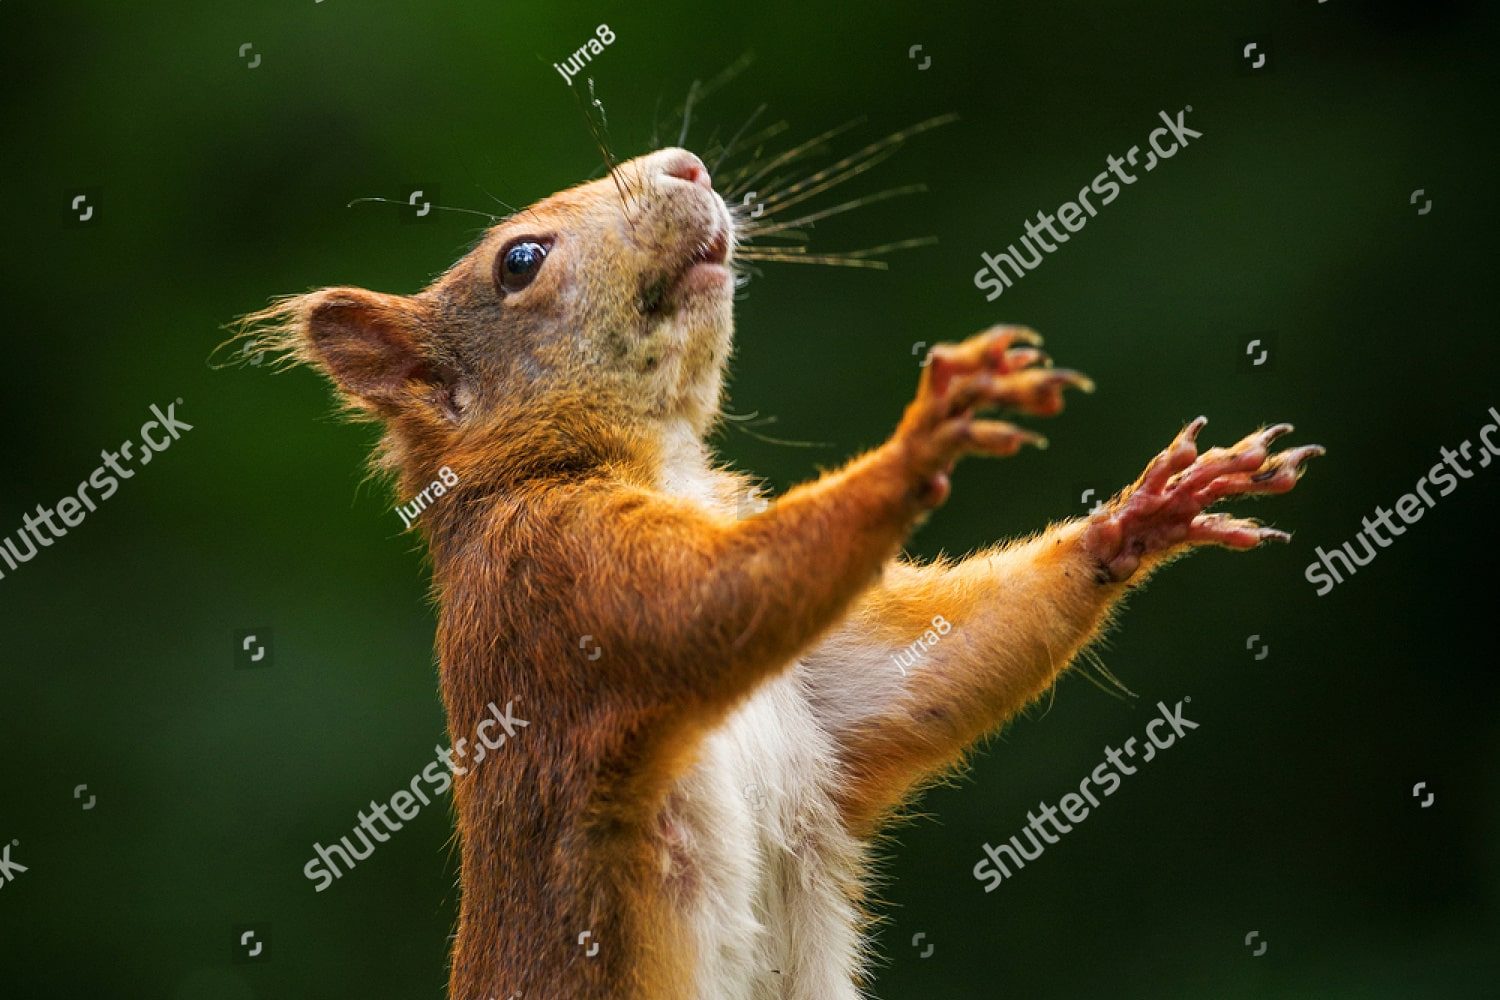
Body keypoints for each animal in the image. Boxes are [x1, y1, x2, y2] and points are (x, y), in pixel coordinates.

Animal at [238, 146, 1321, 999]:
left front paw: (1146, 512)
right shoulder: (552, 577)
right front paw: (922, 433)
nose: (687, 165)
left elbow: (924, 671)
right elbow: (709, 601)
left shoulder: (825, 692)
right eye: (520, 261)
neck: (648, 459)